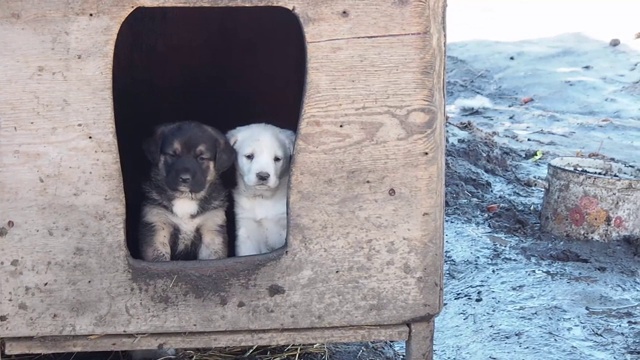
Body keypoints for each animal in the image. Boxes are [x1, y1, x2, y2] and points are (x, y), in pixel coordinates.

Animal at [138, 121, 235, 262]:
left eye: (201, 158)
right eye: (172, 155)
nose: (184, 178)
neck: (185, 197)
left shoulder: (212, 226)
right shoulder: (157, 223)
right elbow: (159, 256)